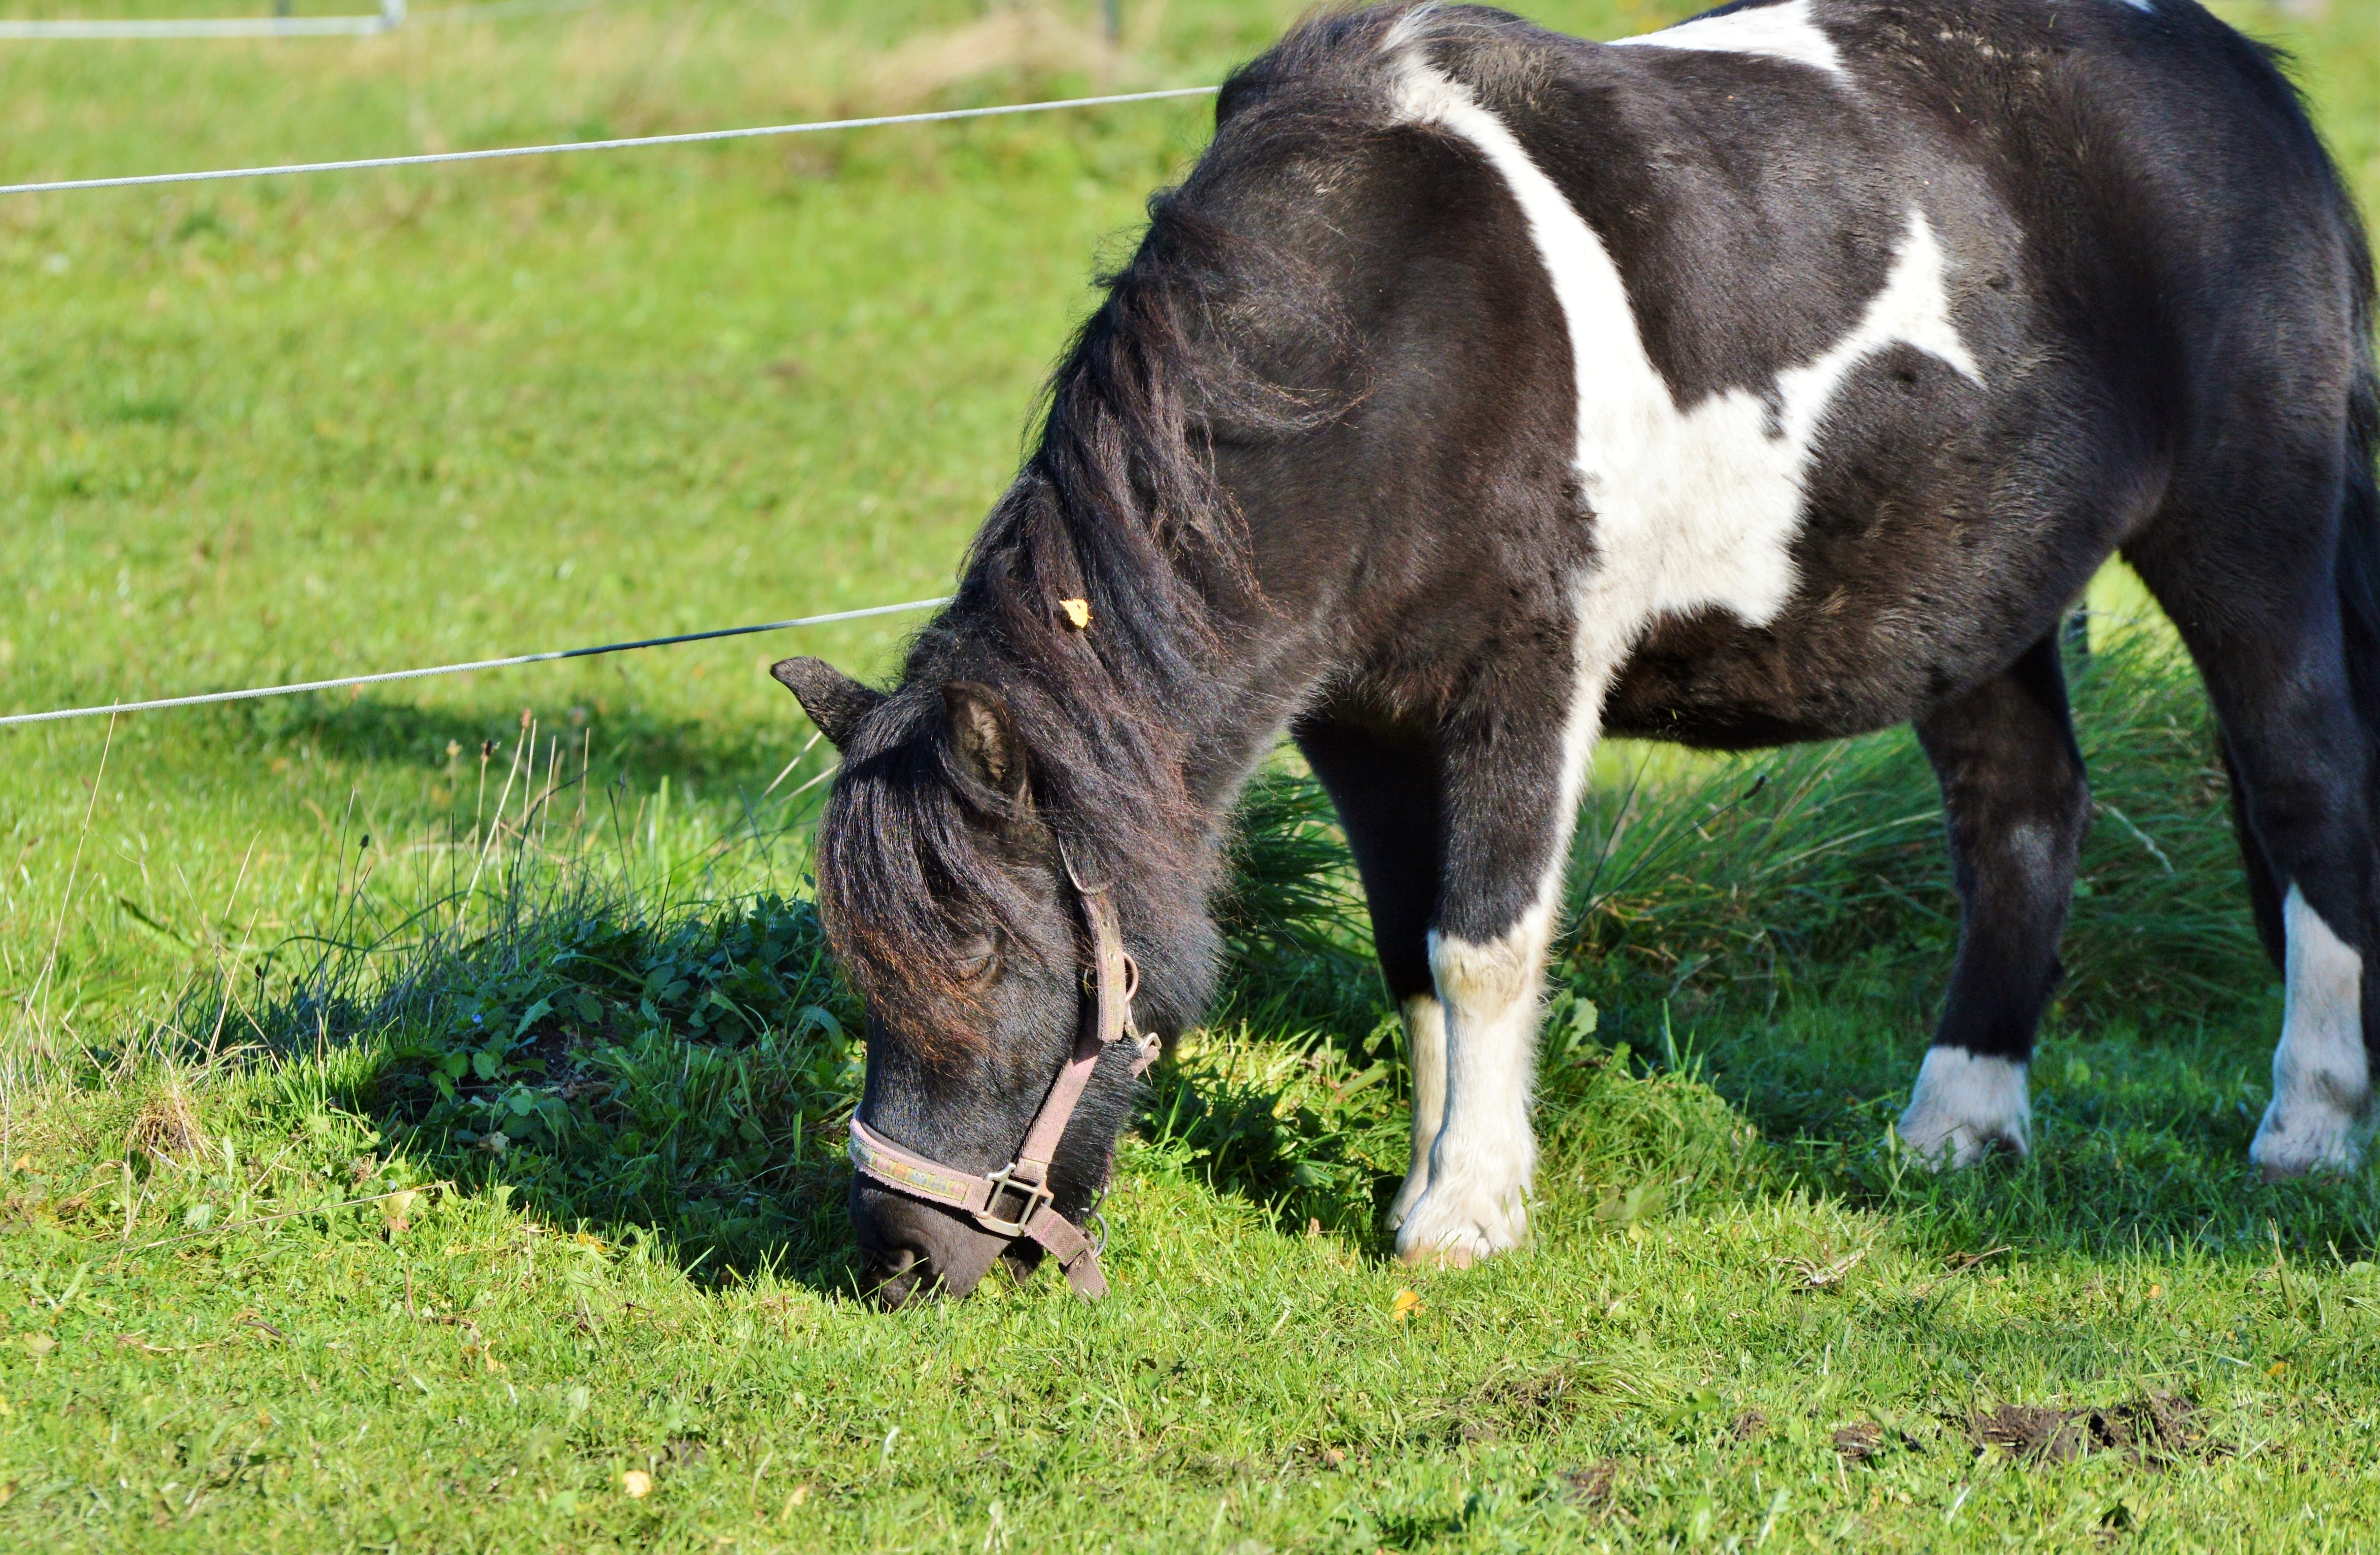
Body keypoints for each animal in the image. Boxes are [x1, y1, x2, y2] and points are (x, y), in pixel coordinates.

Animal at [771, 0, 2370, 1295]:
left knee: (2306, 797)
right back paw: (1953, 1130)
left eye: (990, 956)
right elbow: (1407, 951)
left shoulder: (1521, 684)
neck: (1387, 329)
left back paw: (2305, 1128)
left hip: (2247, 538)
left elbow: (1483, 946)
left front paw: (1465, 1216)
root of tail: (2246, 85)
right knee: (2020, 816)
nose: (898, 1258)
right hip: (1979, 601)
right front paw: (1429, 1177)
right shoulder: (1360, 726)